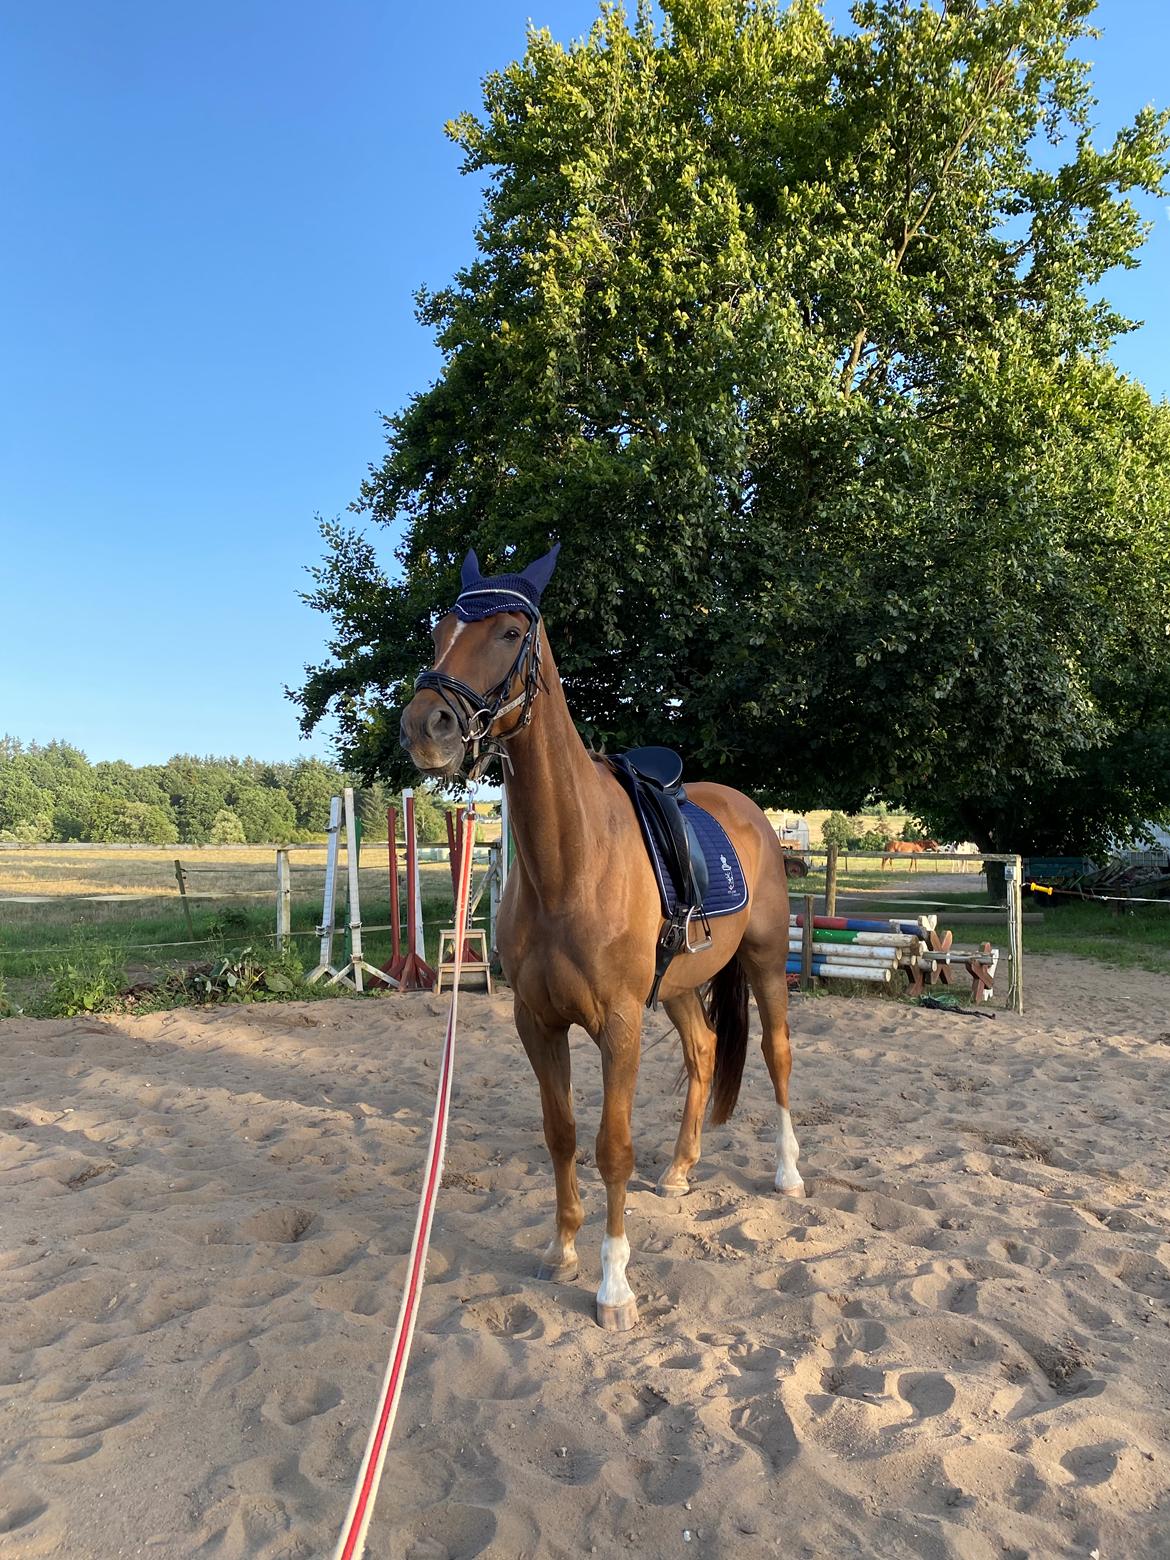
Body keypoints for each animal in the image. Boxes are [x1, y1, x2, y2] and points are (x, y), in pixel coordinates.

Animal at [399, 549, 804, 1329]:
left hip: (766, 965)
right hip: (677, 987)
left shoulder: (618, 1025)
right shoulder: (538, 1021)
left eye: (509, 631)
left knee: (776, 1056)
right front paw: (561, 1251)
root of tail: (749, 812)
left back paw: (789, 1172)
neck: (572, 861)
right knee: (705, 1050)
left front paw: (614, 1287)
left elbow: (611, 1147)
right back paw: (679, 1170)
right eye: (437, 631)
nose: (424, 727)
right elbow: (561, 1135)